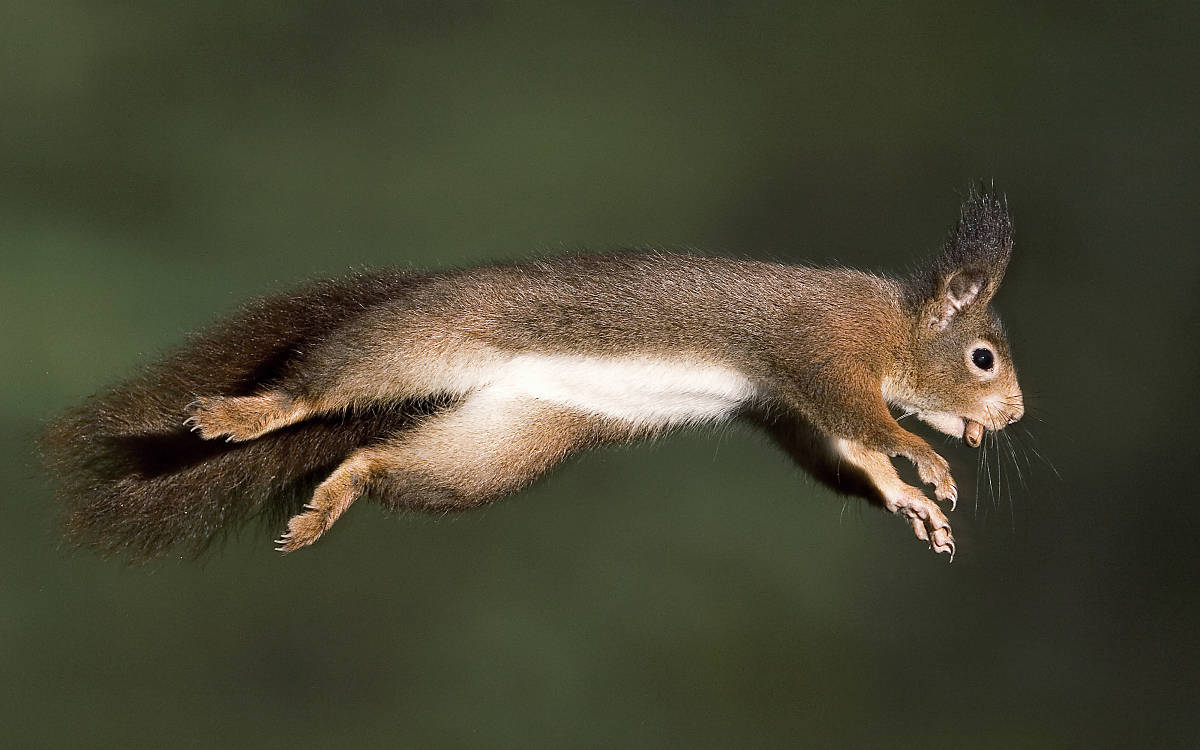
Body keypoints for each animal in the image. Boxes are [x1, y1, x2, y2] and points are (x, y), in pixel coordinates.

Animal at [39, 189, 1022, 559]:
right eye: (983, 358)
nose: (1012, 415)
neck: (890, 327)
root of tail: (419, 288)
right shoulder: (819, 354)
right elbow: (868, 424)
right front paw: (931, 466)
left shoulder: (789, 408)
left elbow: (846, 456)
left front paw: (914, 503)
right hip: (416, 344)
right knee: (317, 387)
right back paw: (248, 413)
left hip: (503, 443)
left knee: (381, 462)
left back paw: (334, 496)